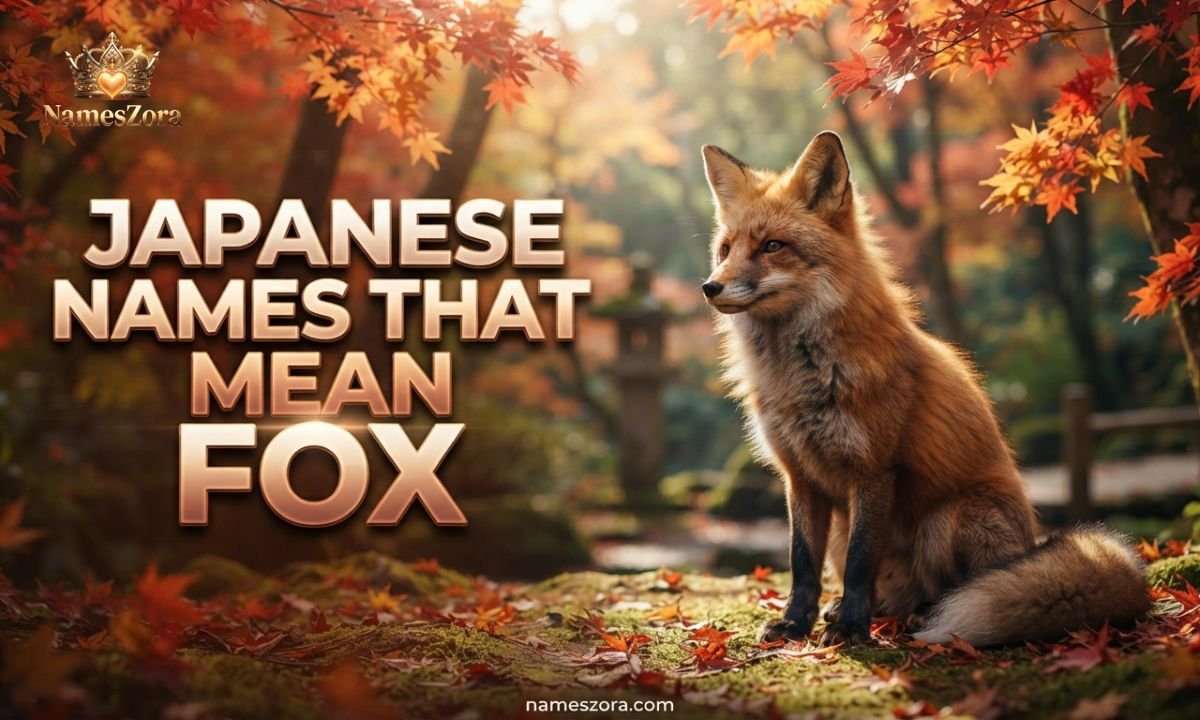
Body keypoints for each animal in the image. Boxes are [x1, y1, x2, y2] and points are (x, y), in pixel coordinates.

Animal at [699, 132, 1150, 647]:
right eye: (725, 250)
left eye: (773, 246)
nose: (709, 287)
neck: (801, 378)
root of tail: (1029, 540)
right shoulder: (800, 477)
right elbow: (801, 563)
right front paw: (795, 624)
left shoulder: (874, 470)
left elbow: (860, 563)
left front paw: (852, 629)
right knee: (889, 591)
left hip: (947, 520)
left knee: (956, 588)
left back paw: (921, 616)